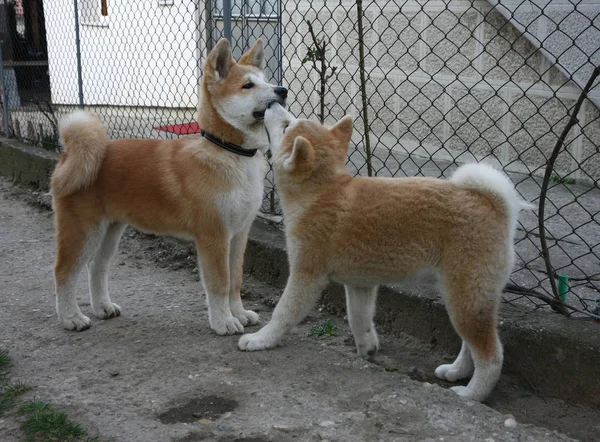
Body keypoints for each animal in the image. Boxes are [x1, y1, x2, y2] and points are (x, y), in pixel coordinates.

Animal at [51, 38, 286, 334]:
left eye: (266, 81)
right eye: (247, 86)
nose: (283, 91)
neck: (228, 152)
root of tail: (70, 154)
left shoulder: (239, 234)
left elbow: (235, 281)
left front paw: (239, 313)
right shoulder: (214, 236)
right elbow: (220, 284)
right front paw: (223, 321)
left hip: (110, 231)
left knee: (96, 268)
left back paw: (102, 307)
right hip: (83, 231)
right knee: (64, 271)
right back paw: (70, 317)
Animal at [239, 105, 528, 402]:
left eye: (286, 125)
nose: (274, 102)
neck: (320, 192)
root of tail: (495, 205)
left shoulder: (306, 274)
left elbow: (282, 313)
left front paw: (261, 339)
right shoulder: (359, 283)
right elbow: (359, 319)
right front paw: (367, 347)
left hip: (466, 297)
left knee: (491, 355)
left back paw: (471, 394)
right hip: (461, 295)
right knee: (470, 344)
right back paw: (456, 371)